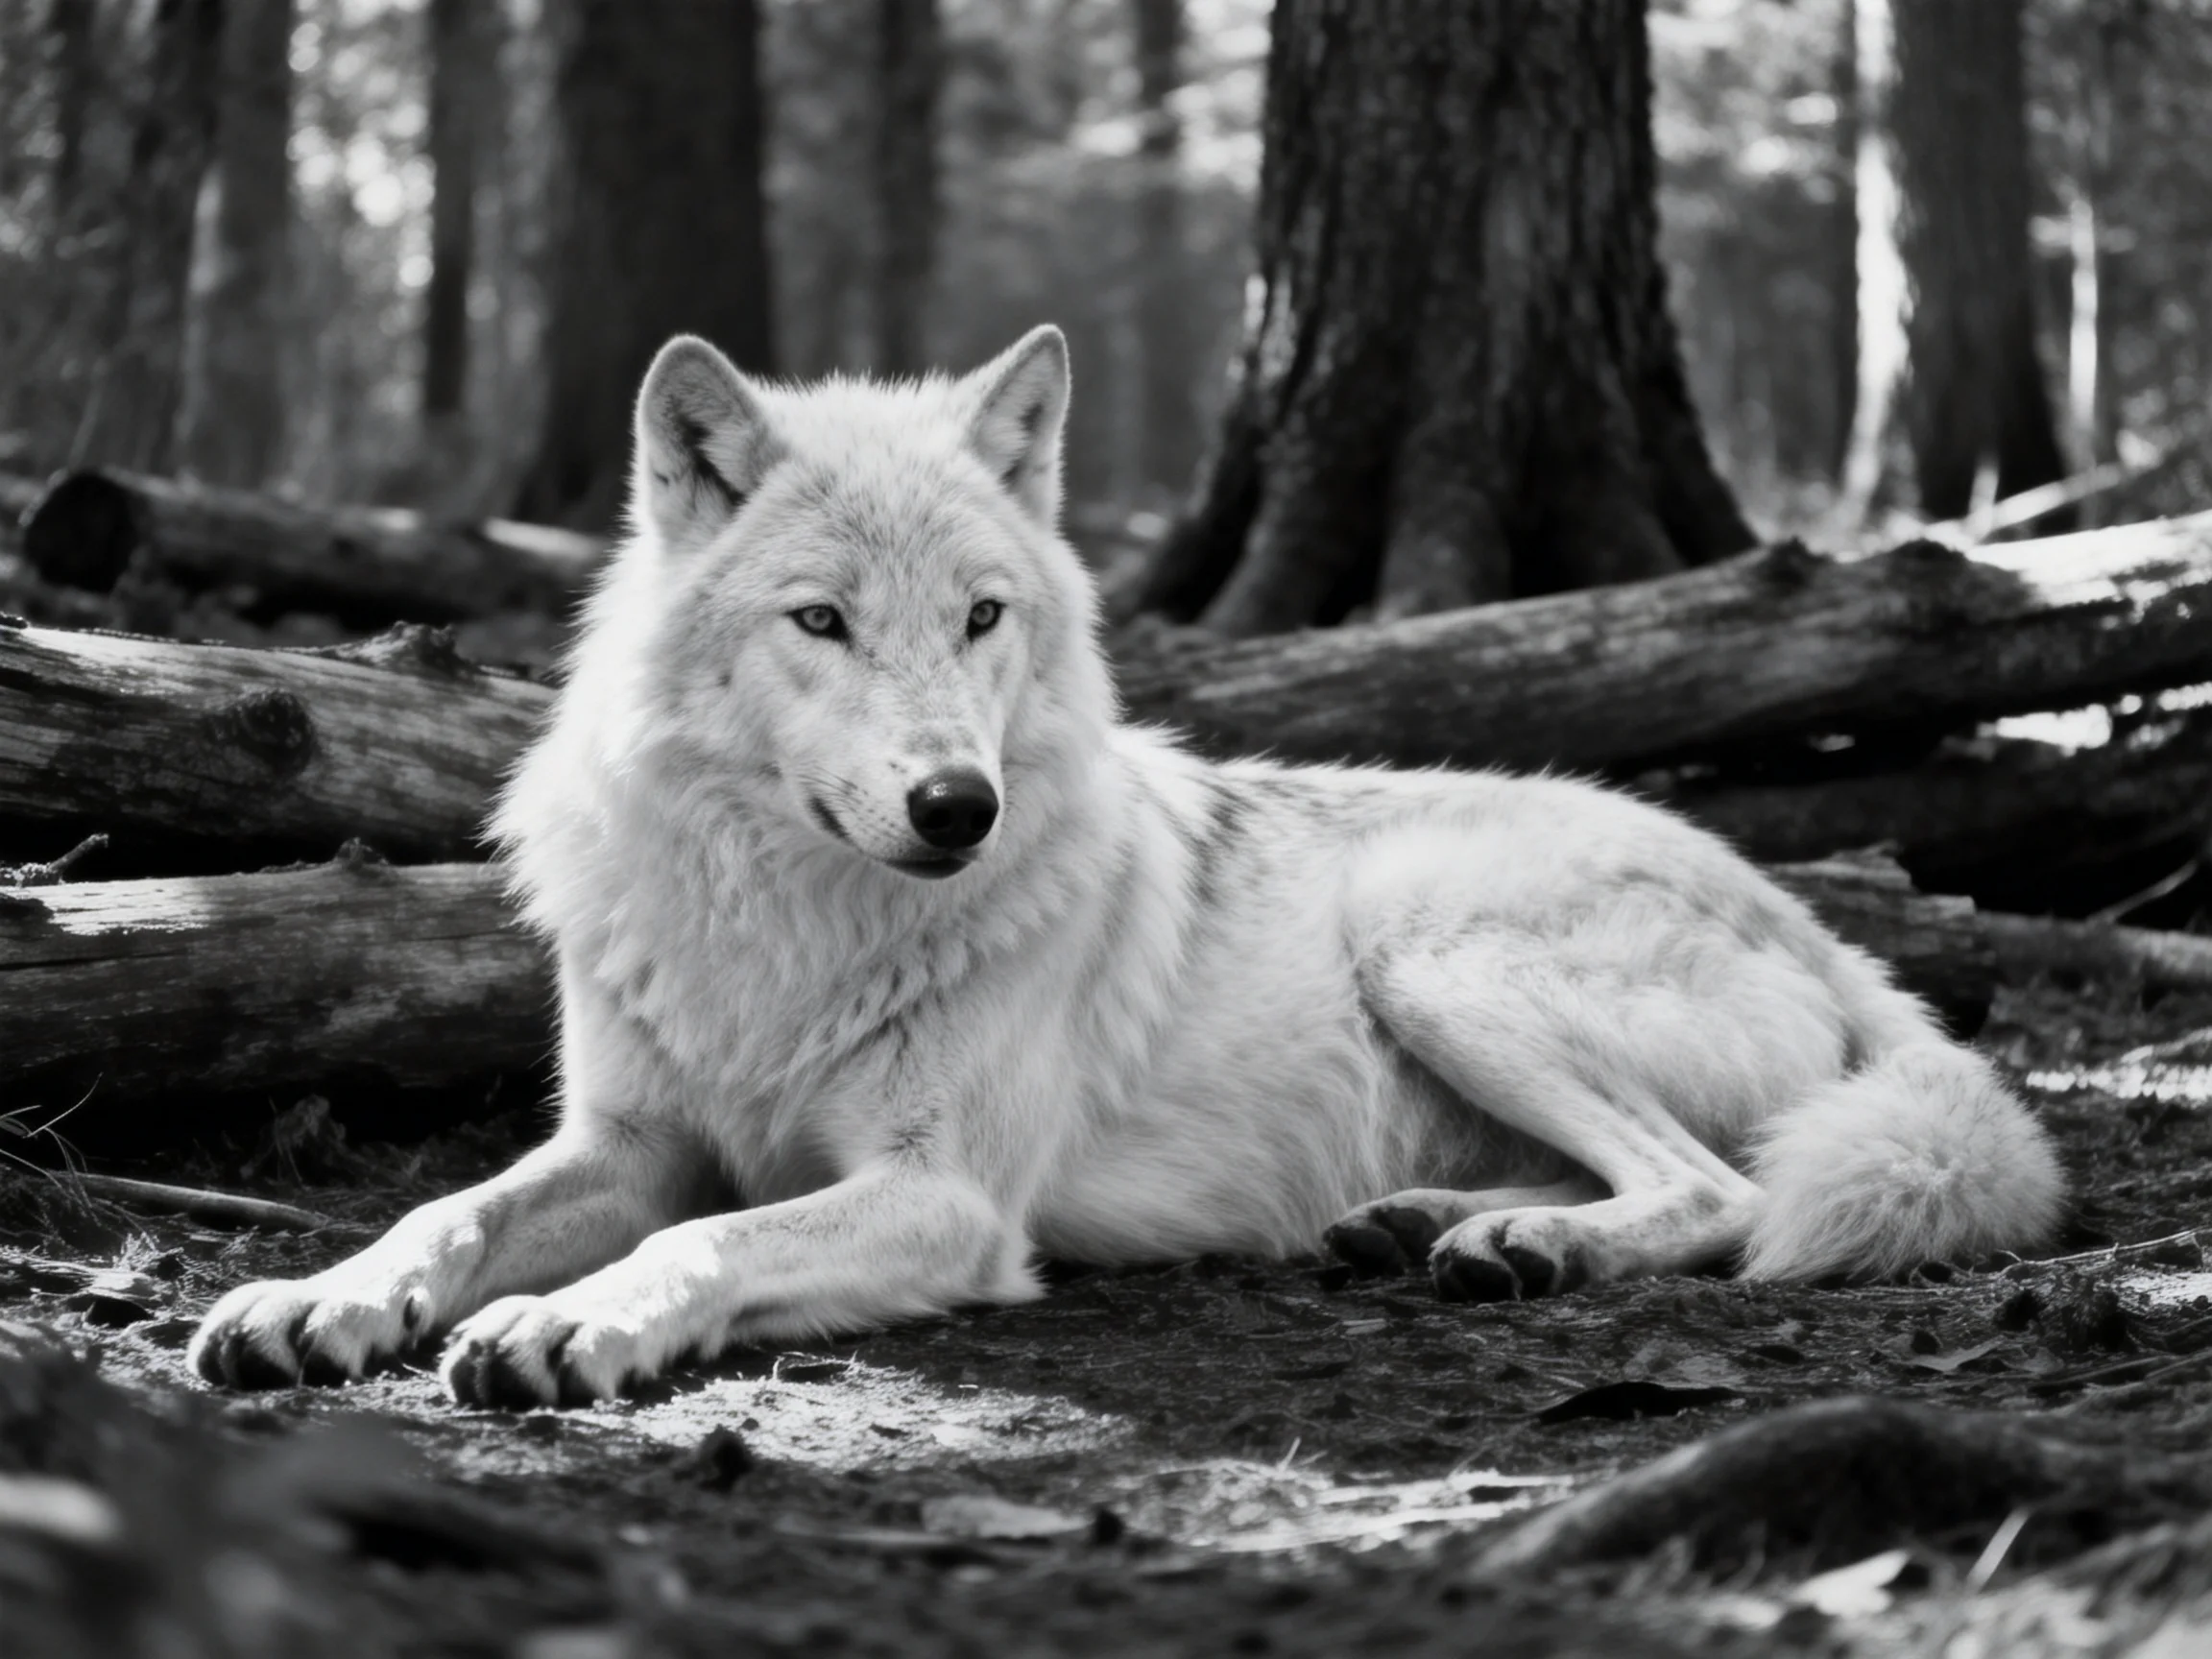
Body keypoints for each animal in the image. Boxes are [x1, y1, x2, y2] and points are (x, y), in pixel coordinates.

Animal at [190, 326, 2065, 1407]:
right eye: (821, 621)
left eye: (979, 617)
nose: (957, 805)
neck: (794, 923)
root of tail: (1817, 918)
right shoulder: (624, 1140)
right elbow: (443, 1208)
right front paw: (313, 1295)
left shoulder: (944, 1197)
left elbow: (703, 1243)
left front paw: (561, 1322)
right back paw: (1433, 1225)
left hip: (1430, 952)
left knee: (1717, 1192)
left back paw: (1520, 1249)